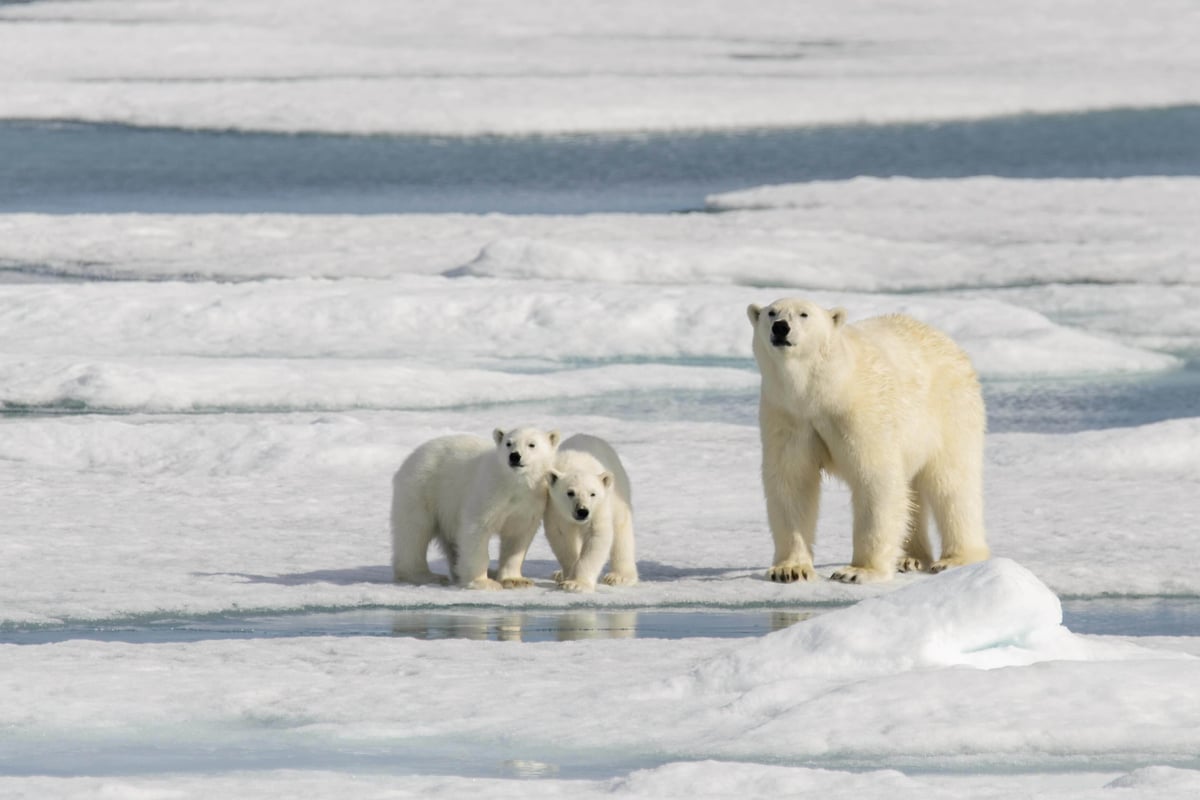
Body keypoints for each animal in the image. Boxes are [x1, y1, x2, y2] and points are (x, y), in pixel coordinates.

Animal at [393, 429, 561, 592]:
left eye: (532, 444)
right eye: (508, 443)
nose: (514, 456)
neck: (514, 484)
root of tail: (412, 456)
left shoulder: (529, 503)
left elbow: (517, 537)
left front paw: (515, 580)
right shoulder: (488, 492)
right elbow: (476, 531)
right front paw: (483, 583)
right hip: (422, 489)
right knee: (414, 532)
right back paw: (425, 575)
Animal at [744, 298, 988, 582]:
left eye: (804, 314)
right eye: (771, 313)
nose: (781, 327)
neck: (822, 390)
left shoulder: (860, 411)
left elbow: (875, 479)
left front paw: (857, 571)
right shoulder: (788, 416)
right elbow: (791, 481)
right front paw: (790, 569)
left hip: (950, 411)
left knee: (952, 484)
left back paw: (956, 559)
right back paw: (910, 558)